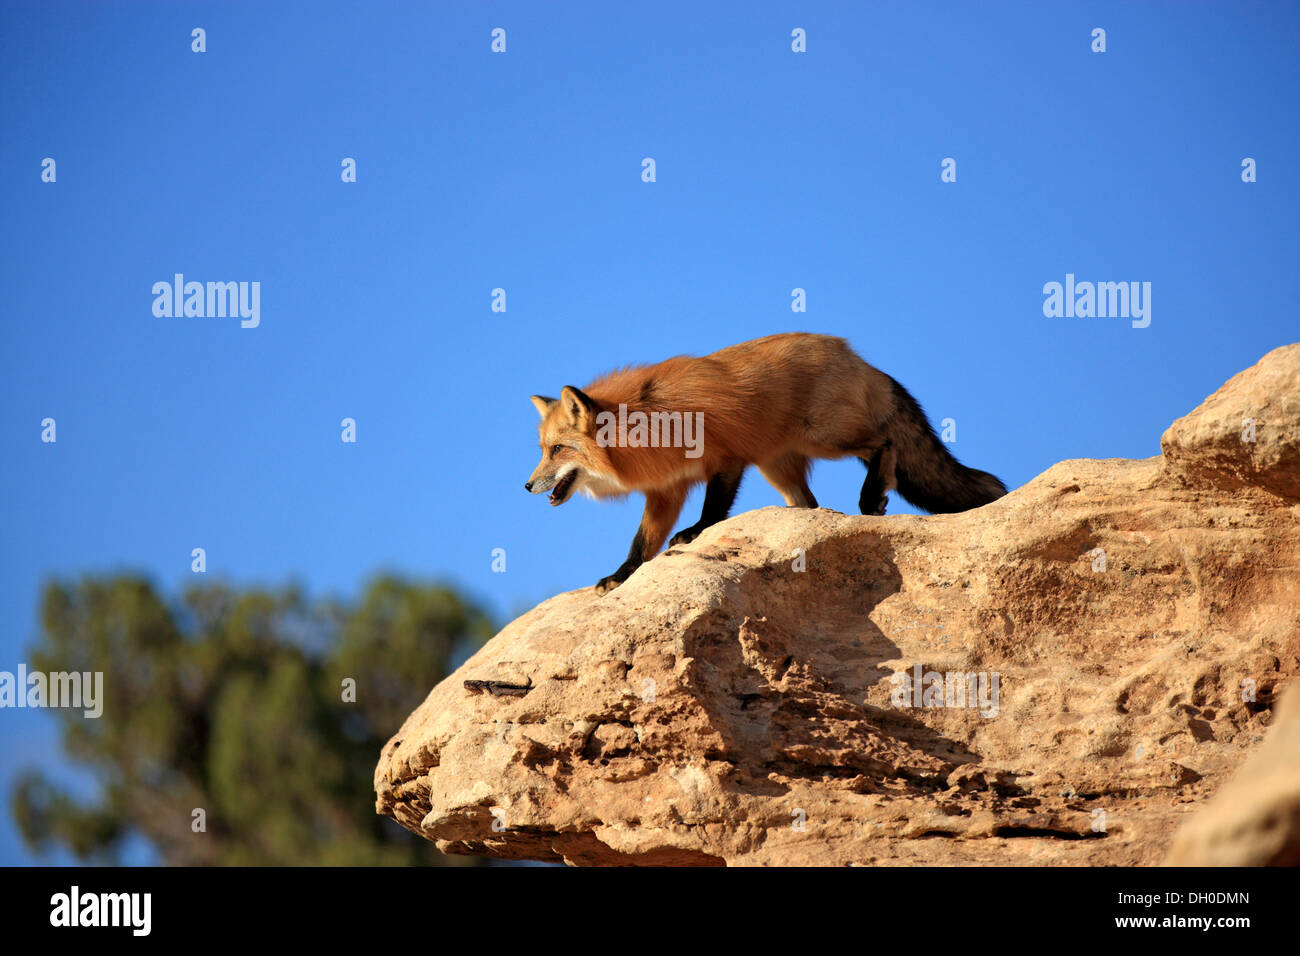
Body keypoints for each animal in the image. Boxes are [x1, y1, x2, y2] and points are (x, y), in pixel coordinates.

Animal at [525, 332, 1003, 595]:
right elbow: (641, 544)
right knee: (810, 505)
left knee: (884, 444)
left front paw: (696, 533)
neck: (647, 422)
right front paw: (620, 576)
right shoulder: (666, 489)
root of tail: (855, 354)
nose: (526, 487)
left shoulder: (727, 457)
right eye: (542, 449)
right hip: (781, 471)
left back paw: (872, 497)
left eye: (557, 450)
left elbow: (713, 510)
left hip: (824, 435)